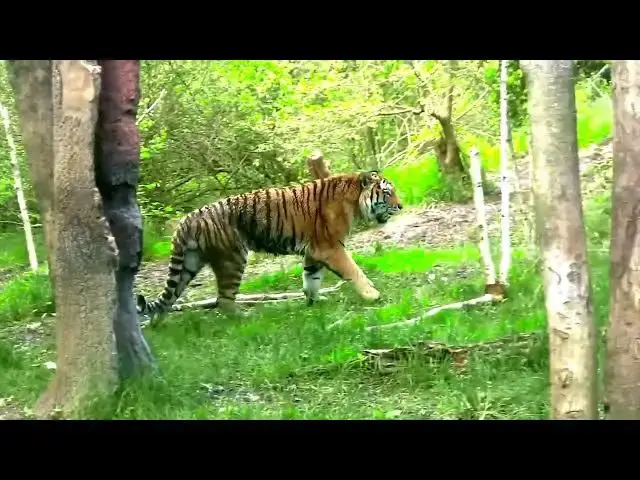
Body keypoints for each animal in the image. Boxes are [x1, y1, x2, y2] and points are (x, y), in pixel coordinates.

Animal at [136, 170, 403, 322]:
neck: (356, 202)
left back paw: (157, 326)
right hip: (233, 259)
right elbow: (354, 270)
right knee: (224, 300)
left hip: (189, 263)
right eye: (387, 193)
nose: (401, 206)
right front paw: (372, 295)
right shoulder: (330, 247)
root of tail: (187, 219)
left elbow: (311, 278)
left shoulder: (313, 251)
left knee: (168, 298)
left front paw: (313, 302)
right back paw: (246, 317)